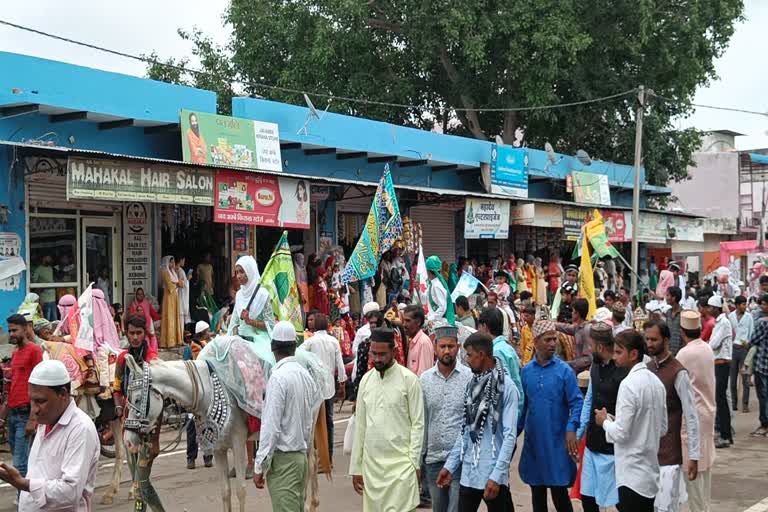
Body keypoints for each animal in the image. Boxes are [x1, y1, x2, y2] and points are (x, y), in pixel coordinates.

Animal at [122, 356, 249, 512]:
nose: (127, 441)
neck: (209, 390)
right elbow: (225, 491)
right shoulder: (219, 448)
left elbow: (241, 490)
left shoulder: (238, 443)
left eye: (138, 399)